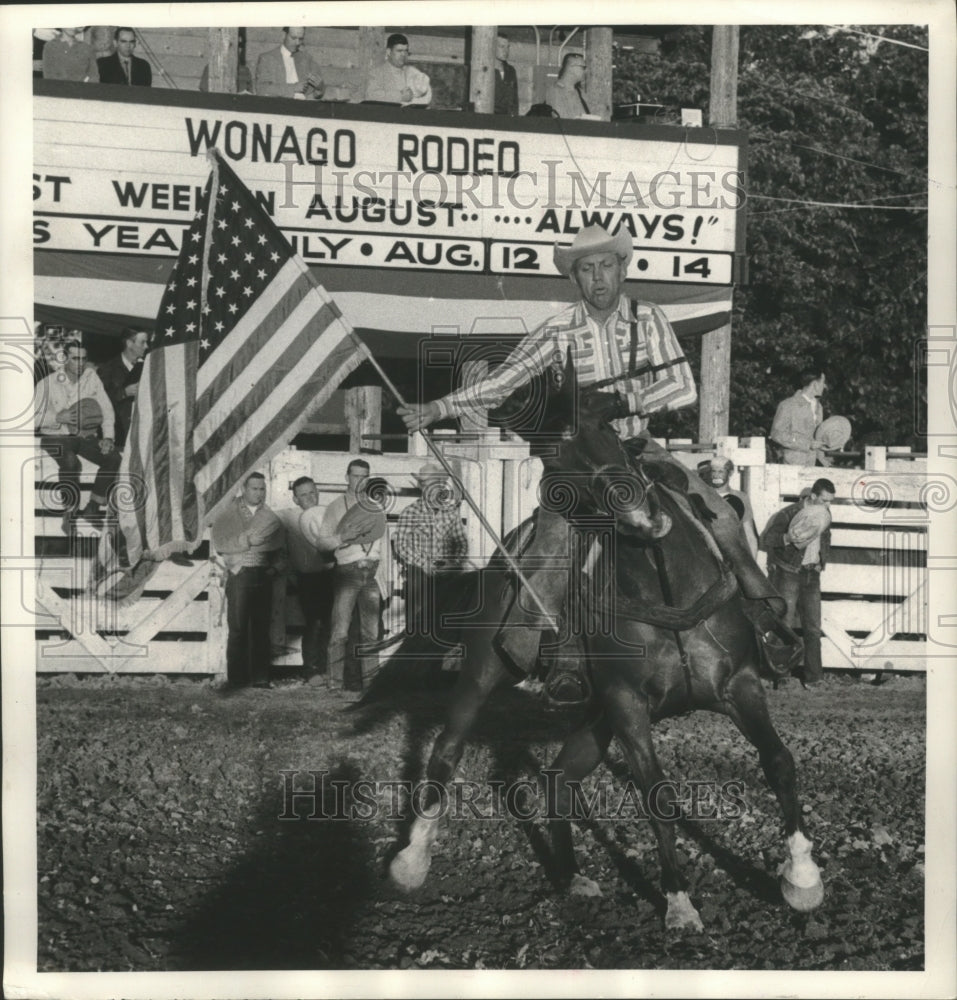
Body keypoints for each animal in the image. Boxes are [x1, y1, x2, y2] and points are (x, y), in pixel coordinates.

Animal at [388, 360, 820, 928]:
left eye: (606, 429)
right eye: (554, 457)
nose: (637, 513)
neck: (664, 584)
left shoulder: (740, 685)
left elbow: (779, 761)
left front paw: (802, 877)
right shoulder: (626, 703)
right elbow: (657, 794)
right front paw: (679, 902)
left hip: (594, 717)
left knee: (557, 779)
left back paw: (572, 876)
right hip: (487, 668)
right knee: (446, 751)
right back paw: (411, 861)